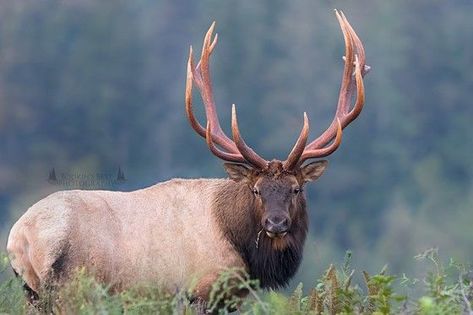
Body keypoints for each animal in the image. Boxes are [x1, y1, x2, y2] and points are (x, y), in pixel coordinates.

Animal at [6, 10, 368, 312]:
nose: (276, 223)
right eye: (256, 190)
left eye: (296, 189)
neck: (242, 249)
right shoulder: (201, 290)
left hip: (33, 293)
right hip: (68, 289)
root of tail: (19, 237)